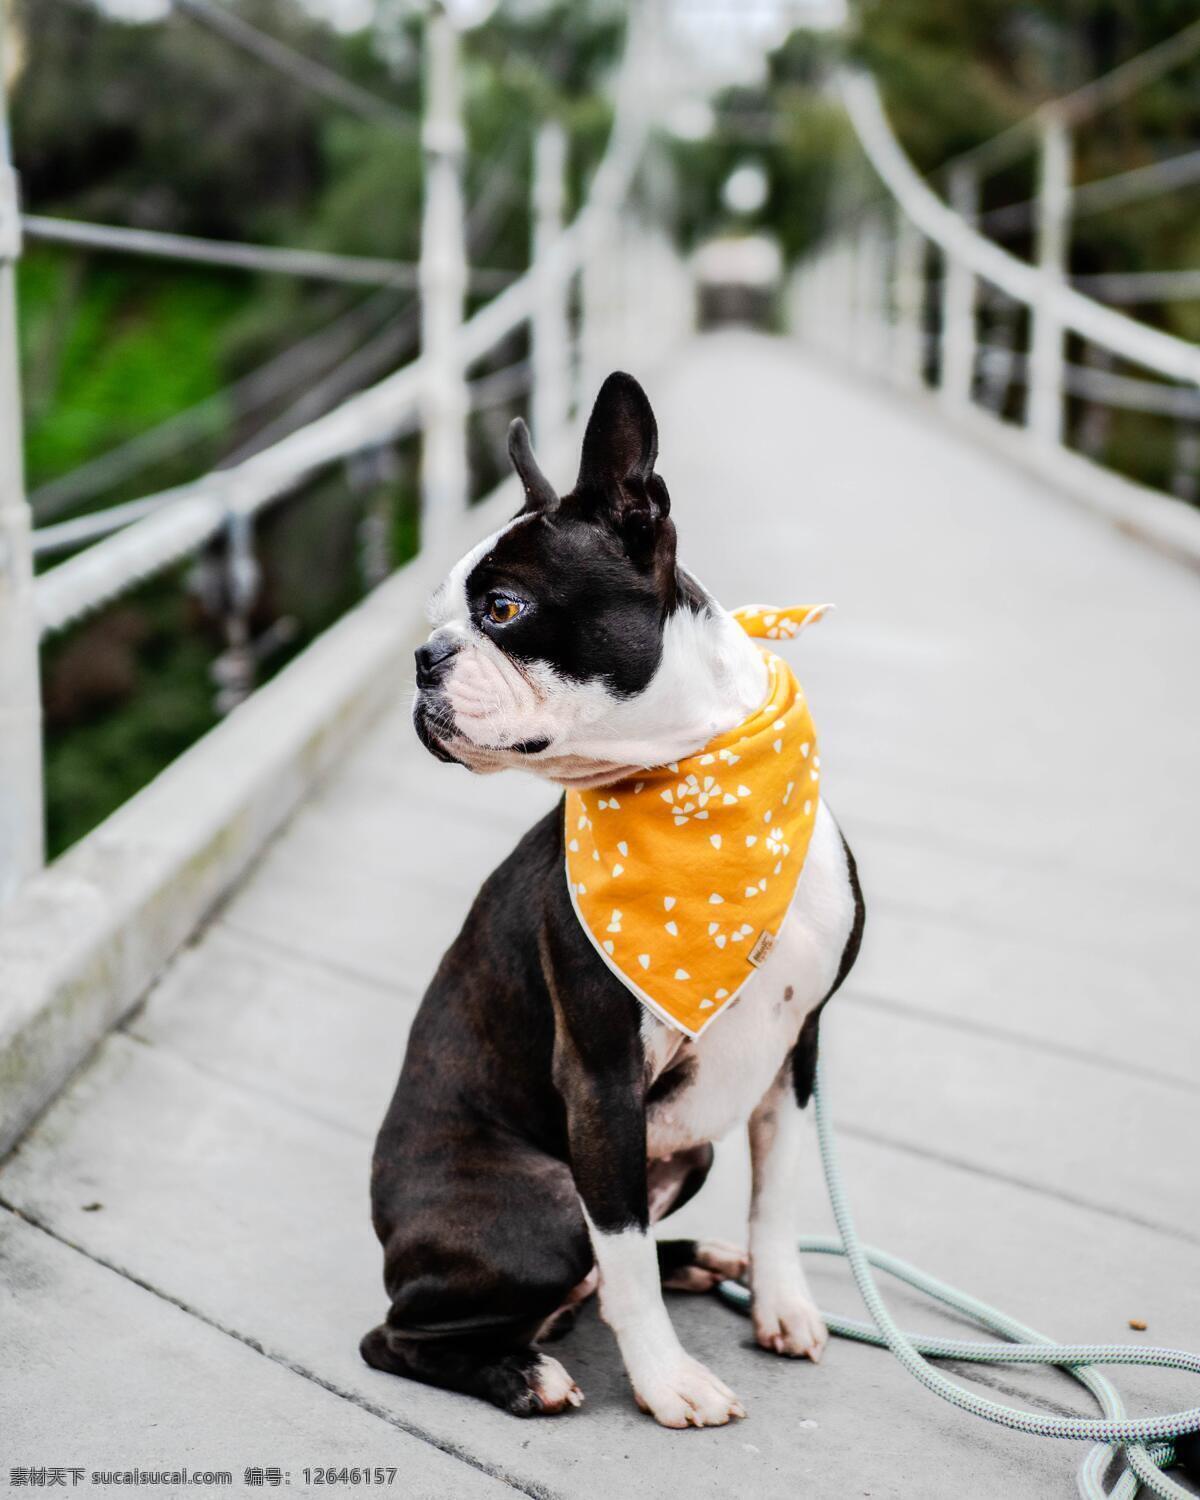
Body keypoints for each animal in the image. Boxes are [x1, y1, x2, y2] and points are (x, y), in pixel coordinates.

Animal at [366, 369, 864, 1422]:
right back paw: (522, 1372)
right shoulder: (600, 1079)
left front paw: (783, 1304)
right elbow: (624, 1253)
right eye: (439, 616)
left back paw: (701, 1260)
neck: (695, 784)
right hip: (546, 1206)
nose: (424, 658)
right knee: (406, 1332)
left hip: (688, 1153)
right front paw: (669, 1381)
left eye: (502, 608)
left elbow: (776, 1196)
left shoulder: (796, 1054)